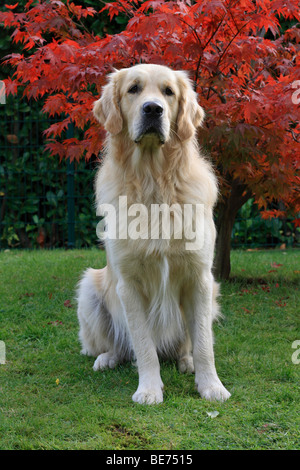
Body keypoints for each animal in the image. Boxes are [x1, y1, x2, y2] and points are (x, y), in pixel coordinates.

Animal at [76, 63, 231, 404]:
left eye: (168, 92)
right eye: (133, 89)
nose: (152, 109)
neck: (153, 182)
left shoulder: (200, 278)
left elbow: (204, 343)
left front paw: (211, 386)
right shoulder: (128, 284)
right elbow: (144, 345)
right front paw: (148, 389)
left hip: (212, 295)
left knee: (187, 344)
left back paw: (186, 361)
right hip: (90, 289)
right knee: (120, 346)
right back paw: (107, 357)